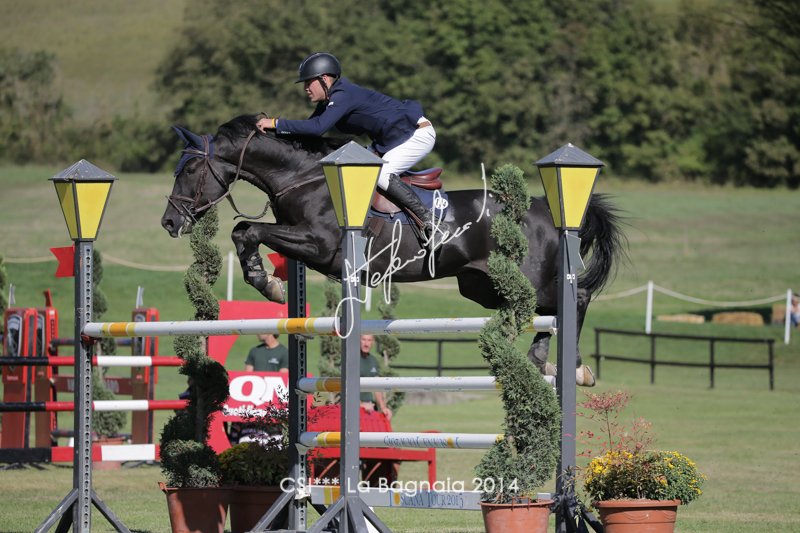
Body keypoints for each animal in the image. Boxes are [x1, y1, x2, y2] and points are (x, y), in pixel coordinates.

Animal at [161, 114, 625, 381]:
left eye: (190, 169)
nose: (169, 222)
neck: (303, 176)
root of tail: (545, 207)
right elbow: (246, 232)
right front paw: (270, 282)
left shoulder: (320, 243)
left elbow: (249, 230)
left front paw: (264, 281)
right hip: (480, 285)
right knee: (546, 310)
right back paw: (544, 359)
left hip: (529, 277)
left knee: (573, 298)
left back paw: (568, 365)